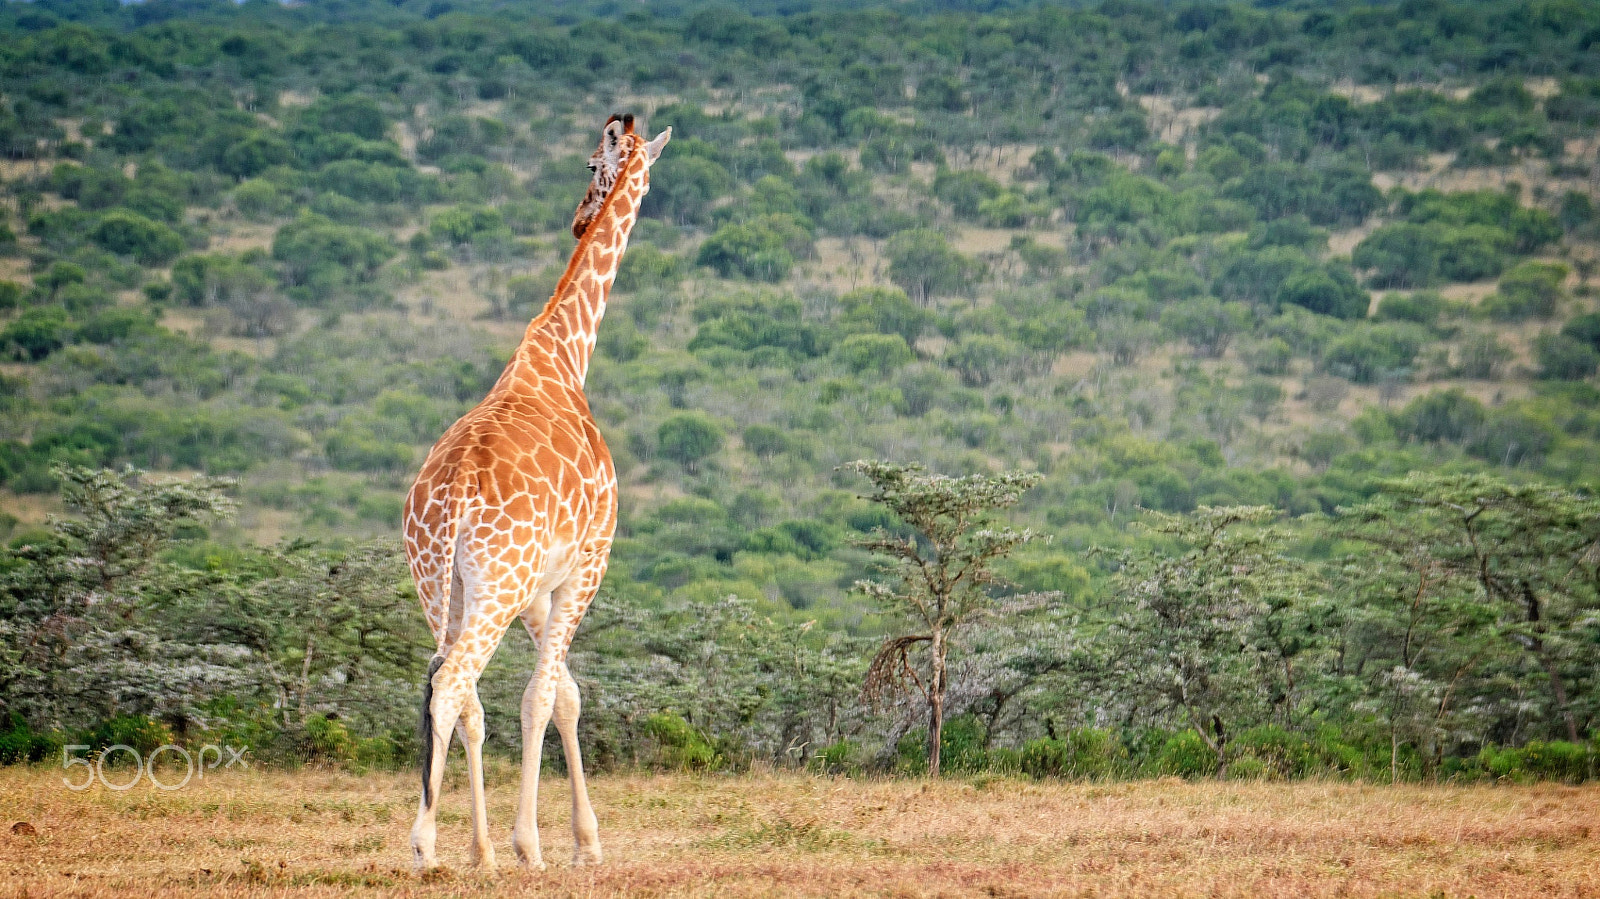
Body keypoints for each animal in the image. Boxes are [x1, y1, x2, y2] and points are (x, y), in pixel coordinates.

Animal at [403, 111, 672, 870]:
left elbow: (563, 694)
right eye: (592, 164)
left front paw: (562, 841)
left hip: (443, 584)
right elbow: (545, 696)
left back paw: (475, 849)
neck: (565, 356)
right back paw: (426, 842)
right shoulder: (587, 561)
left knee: (455, 686)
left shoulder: (536, 583)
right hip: (494, 582)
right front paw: (543, 843)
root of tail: (453, 497)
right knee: (455, 681)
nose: (580, 217)